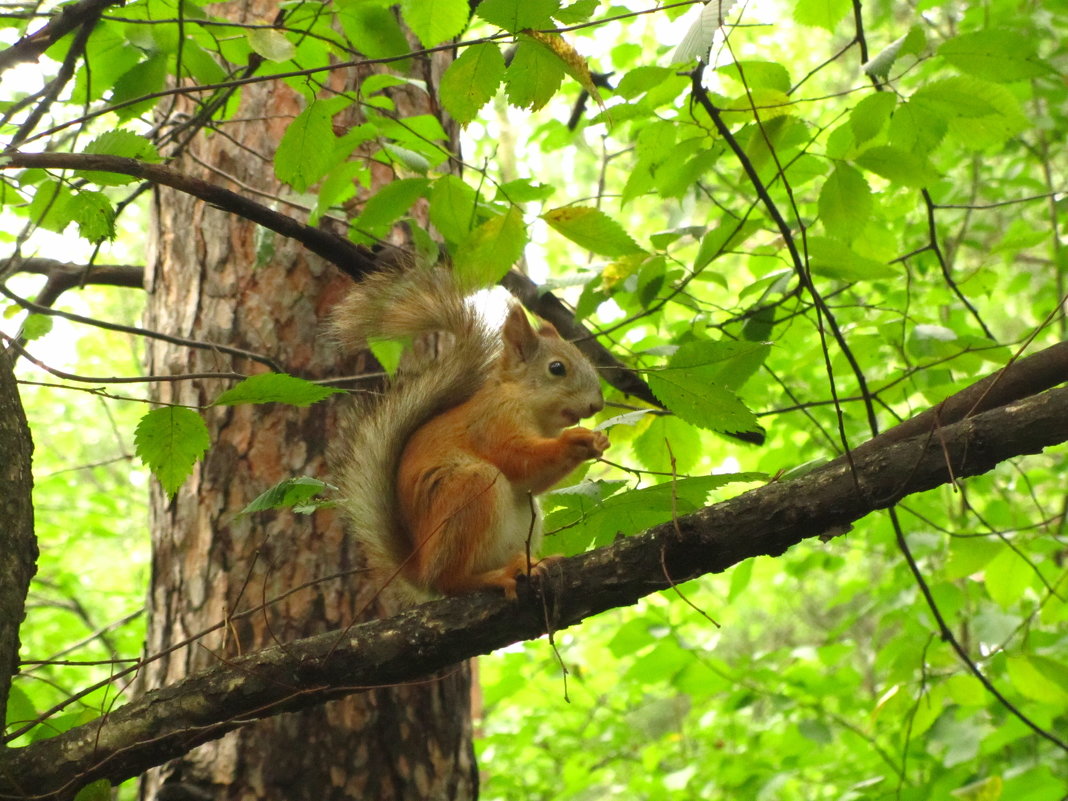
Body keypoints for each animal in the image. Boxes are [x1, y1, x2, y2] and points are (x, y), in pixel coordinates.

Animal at [328, 267, 610, 606]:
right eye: (557, 368)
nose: (597, 404)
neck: (521, 399)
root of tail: (423, 571)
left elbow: (534, 480)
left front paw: (597, 441)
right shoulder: (492, 422)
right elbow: (517, 459)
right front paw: (576, 439)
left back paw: (527, 564)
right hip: (469, 490)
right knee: (452, 580)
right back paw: (493, 577)